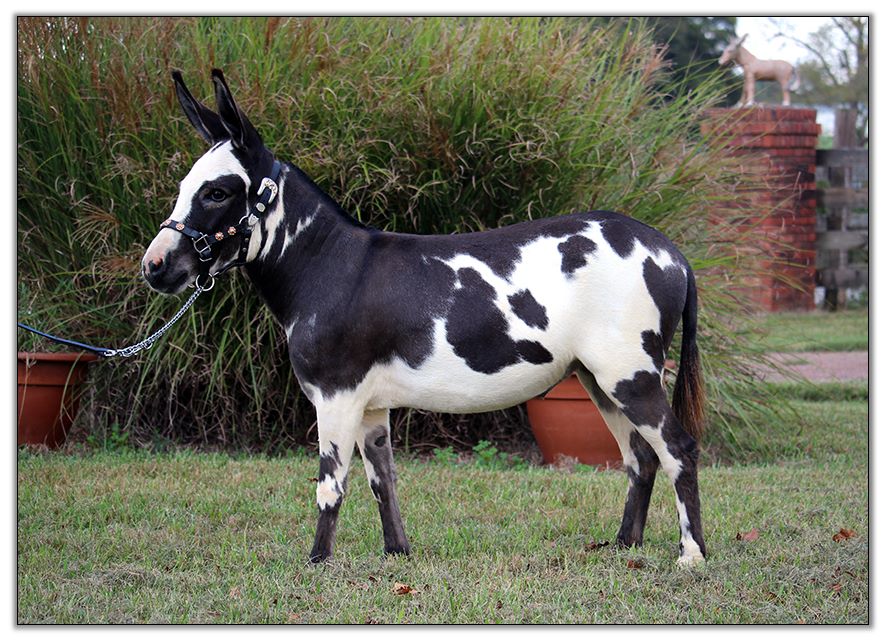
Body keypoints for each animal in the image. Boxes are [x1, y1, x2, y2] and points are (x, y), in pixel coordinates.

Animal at [142, 69, 708, 566]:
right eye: (185, 186)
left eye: (216, 192)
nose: (154, 266)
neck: (329, 265)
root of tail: (671, 251)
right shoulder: (371, 407)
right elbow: (382, 482)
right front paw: (397, 555)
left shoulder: (336, 396)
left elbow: (330, 484)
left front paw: (317, 562)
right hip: (597, 379)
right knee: (641, 458)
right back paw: (625, 547)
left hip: (628, 375)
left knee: (677, 449)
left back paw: (692, 556)